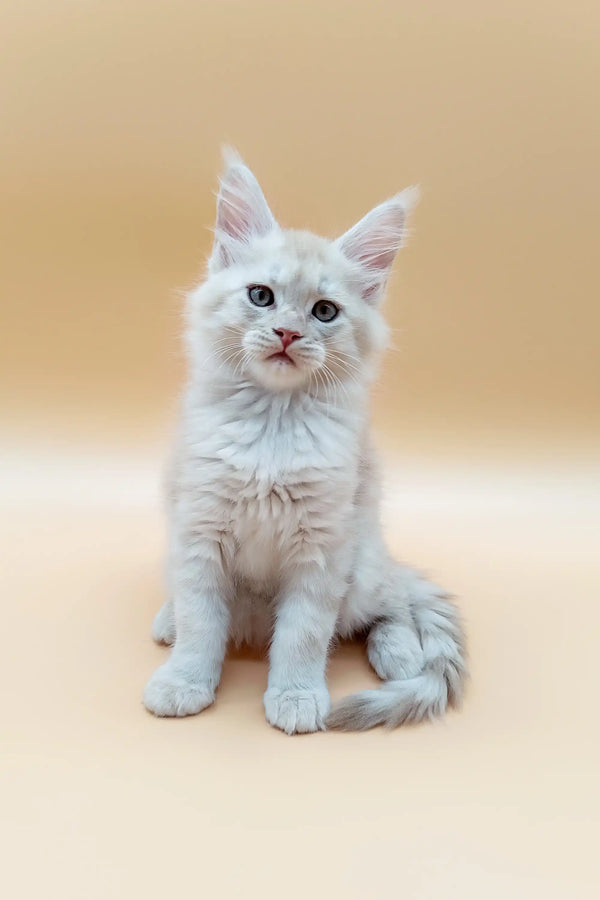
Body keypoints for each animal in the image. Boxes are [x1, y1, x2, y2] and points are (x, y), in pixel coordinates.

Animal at [143, 153, 466, 732]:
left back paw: (401, 654)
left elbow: (304, 635)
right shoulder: (199, 531)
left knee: (392, 605)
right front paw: (184, 681)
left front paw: (295, 696)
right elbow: (201, 622)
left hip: (363, 564)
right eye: (261, 296)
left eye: (324, 311)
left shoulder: (322, 548)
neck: (272, 424)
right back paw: (168, 621)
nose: (288, 333)